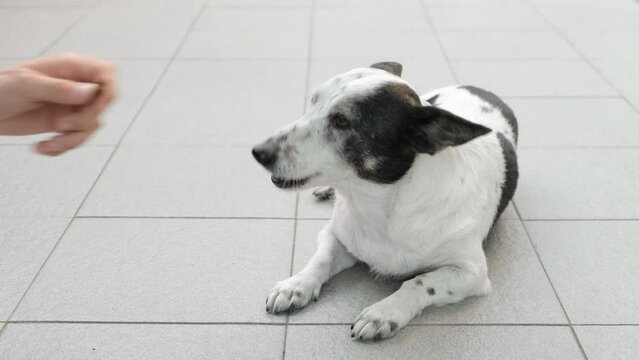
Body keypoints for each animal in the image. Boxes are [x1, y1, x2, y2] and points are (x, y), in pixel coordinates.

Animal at [252, 61, 516, 340]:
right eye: (313, 101)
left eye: (342, 120)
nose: (258, 152)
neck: (381, 205)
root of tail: (477, 88)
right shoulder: (335, 234)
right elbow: (321, 258)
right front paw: (295, 285)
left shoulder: (471, 272)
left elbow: (419, 282)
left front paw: (383, 313)